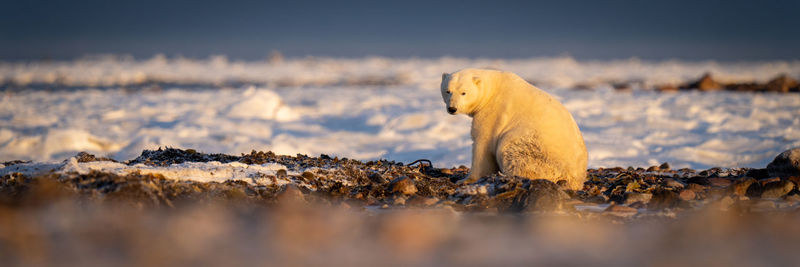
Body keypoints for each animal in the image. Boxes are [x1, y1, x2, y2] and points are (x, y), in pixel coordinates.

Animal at [440, 69, 584, 191]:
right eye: (447, 91)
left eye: (464, 92)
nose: (452, 108)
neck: (492, 89)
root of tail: (576, 178)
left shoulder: (493, 112)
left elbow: (482, 143)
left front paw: (466, 180)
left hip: (538, 151)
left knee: (510, 151)